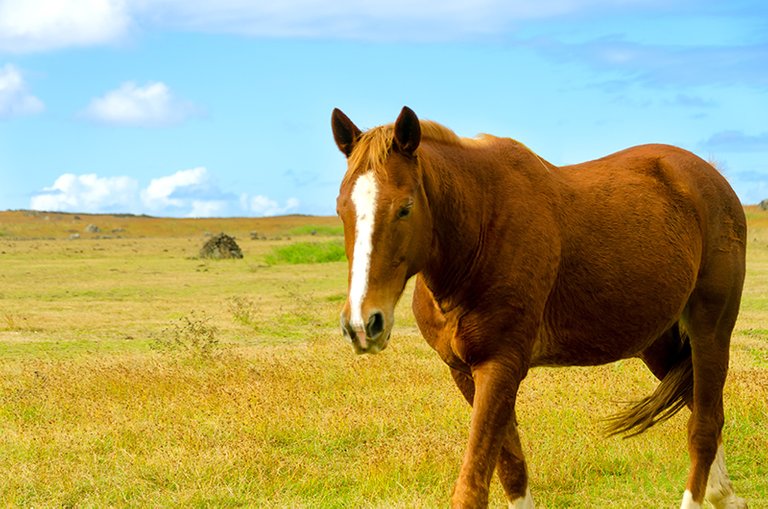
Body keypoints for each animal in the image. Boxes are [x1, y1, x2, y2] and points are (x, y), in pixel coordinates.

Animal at [332, 105, 748, 506]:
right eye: (340, 208)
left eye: (404, 208)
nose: (362, 324)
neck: (481, 231)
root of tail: (708, 176)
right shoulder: (465, 373)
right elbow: (512, 469)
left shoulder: (500, 367)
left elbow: (472, 487)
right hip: (656, 342)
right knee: (699, 405)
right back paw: (723, 493)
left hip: (710, 330)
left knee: (705, 426)